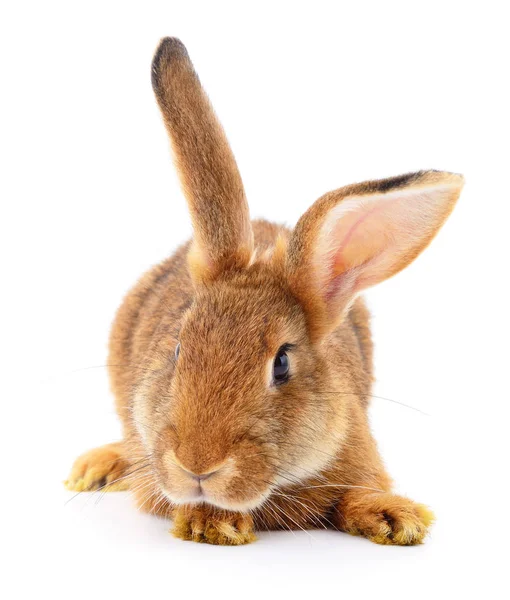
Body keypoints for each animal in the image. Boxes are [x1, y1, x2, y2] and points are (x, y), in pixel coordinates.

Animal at [65, 36, 464, 544]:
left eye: (282, 363)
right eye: (178, 350)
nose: (197, 465)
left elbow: (358, 491)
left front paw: (397, 518)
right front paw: (212, 523)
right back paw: (96, 467)